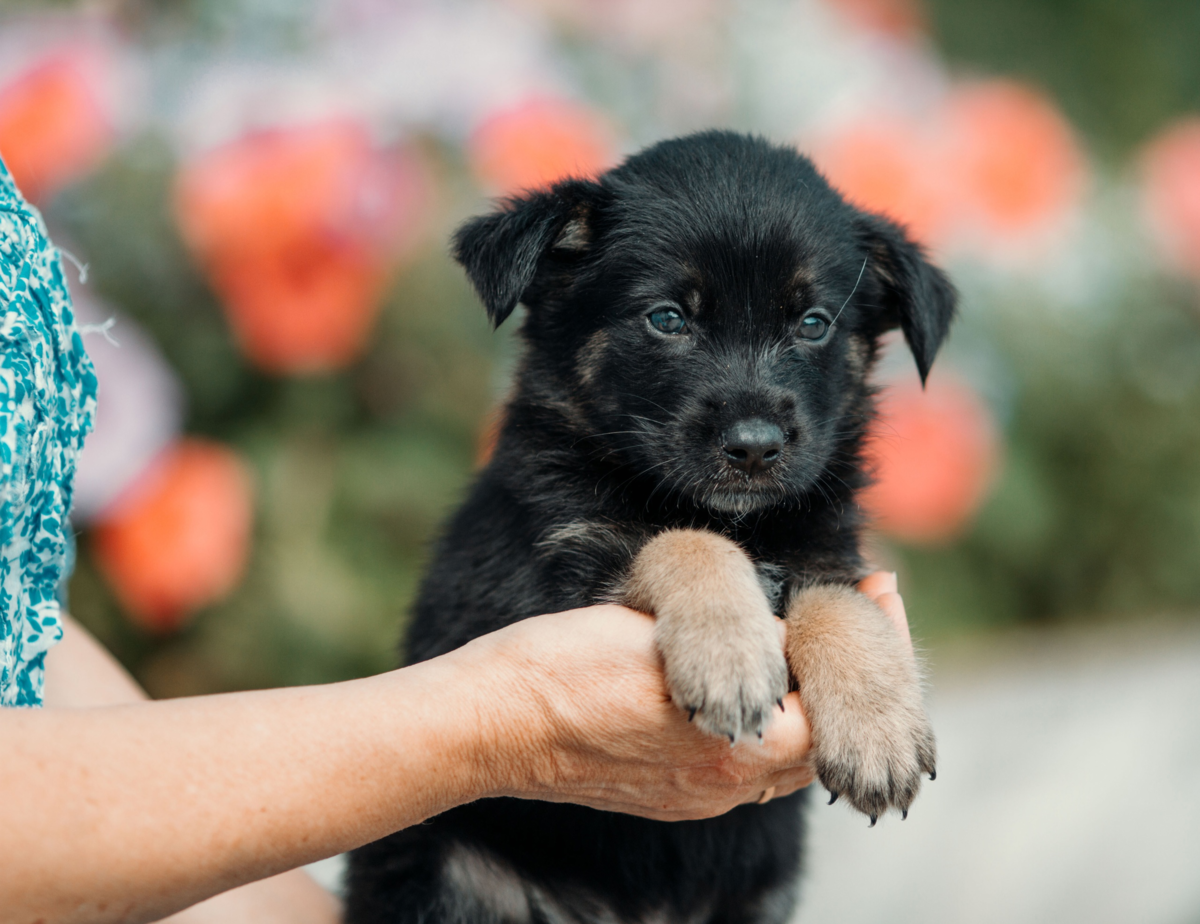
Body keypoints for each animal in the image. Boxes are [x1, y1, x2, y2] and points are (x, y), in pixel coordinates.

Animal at [348, 129, 955, 921]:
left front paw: (879, 728)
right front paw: (730, 656)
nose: (755, 447)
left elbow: (838, 602)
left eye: (813, 323)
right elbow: (684, 541)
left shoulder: (825, 550)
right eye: (668, 318)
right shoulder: (553, 570)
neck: (737, 520)